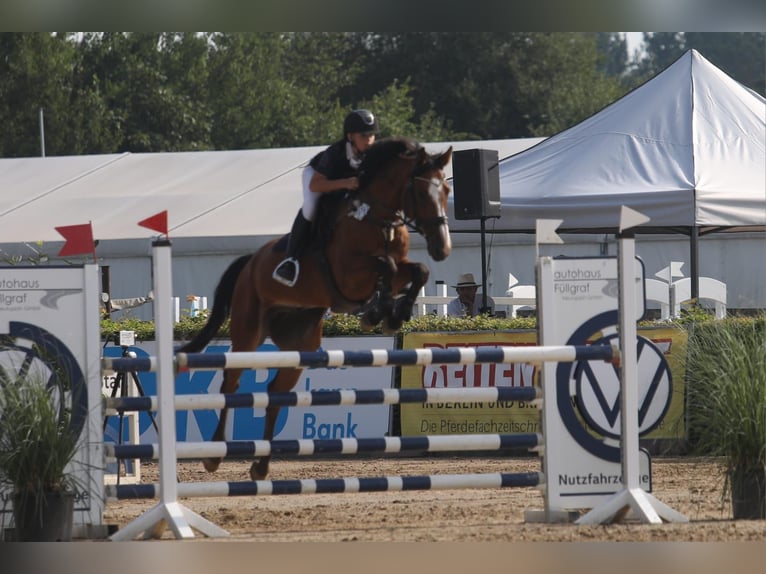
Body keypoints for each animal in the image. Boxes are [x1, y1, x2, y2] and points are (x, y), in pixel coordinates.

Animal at [177, 136, 452, 482]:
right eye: (421, 192)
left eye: (446, 190)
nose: (443, 249)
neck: (378, 218)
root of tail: (250, 262)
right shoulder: (350, 275)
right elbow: (385, 266)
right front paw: (379, 312)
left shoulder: (400, 266)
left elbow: (418, 272)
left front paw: (393, 314)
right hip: (248, 332)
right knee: (232, 384)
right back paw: (214, 456)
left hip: (301, 344)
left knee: (275, 393)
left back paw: (261, 466)